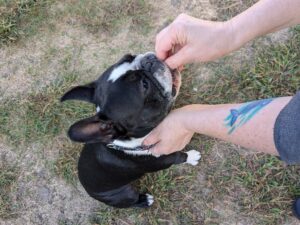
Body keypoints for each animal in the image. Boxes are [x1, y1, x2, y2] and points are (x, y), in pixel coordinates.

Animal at [61, 52, 200, 207]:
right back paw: (144, 200)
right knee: (132, 202)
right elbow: (179, 156)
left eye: (129, 56)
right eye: (144, 85)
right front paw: (192, 156)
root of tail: (89, 192)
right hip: (124, 194)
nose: (148, 61)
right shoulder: (166, 159)